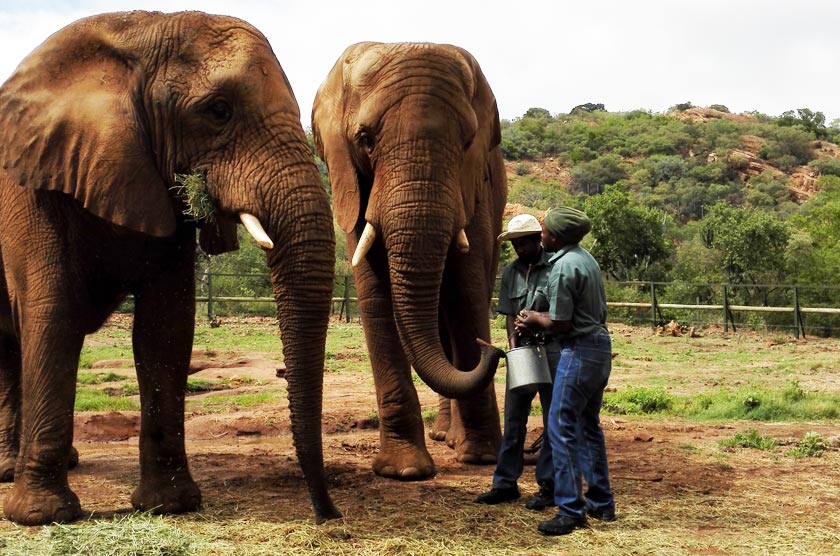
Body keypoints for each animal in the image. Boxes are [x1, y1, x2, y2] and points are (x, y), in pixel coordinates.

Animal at [0, 11, 341, 525]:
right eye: (218, 110)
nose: (329, 514)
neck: (134, 36)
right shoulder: (35, 180)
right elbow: (53, 313)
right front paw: (42, 516)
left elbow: (165, 326)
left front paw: (171, 505)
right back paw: (8, 472)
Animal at [312, 42, 507, 480]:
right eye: (364, 139)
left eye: (467, 141)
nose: (494, 349)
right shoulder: (353, 185)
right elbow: (375, 297)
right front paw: (404, 471)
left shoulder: (474, 189)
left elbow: (467, 294)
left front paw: (482, 458)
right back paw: (442, 438)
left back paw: (454, 441)